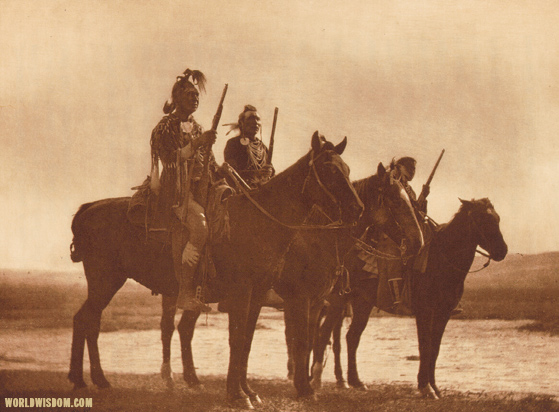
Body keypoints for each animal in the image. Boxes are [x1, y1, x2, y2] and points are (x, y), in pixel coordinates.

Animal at [69, 132, 364, 408]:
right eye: (329, 169)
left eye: (347, 169)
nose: (357, 209)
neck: (259, 223)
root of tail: (89, 208)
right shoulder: (251, 294)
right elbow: (244, 339)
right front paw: (238, 395)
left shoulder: (259, 295)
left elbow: (247, 340)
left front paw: (249, 392)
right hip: (105, 281)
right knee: (87, 320)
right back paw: (90, 379)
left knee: (89, 320)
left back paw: (91, 379)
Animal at [160, 163, 426, 400]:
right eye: (395, 201)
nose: (418, 242)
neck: (316, 239)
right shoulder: (301, 300)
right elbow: (303, 340)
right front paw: (304, 386)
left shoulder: (317, 302)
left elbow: (308, 340)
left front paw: (305, 383)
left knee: (184, 329)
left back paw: (193, 380)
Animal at [312, 198, 510, 398]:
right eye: (483, 219)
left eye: (497, 219)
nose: (502, 251)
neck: (441, 260)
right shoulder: (424, 312)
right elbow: (425, 346)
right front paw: (425, 387)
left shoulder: (443, 314)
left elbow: (435, 348)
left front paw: (435, 387)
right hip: (338, 301)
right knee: (324, 334)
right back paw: (317, 380)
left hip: (362, 303)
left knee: (351, 337)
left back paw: (355, 381)